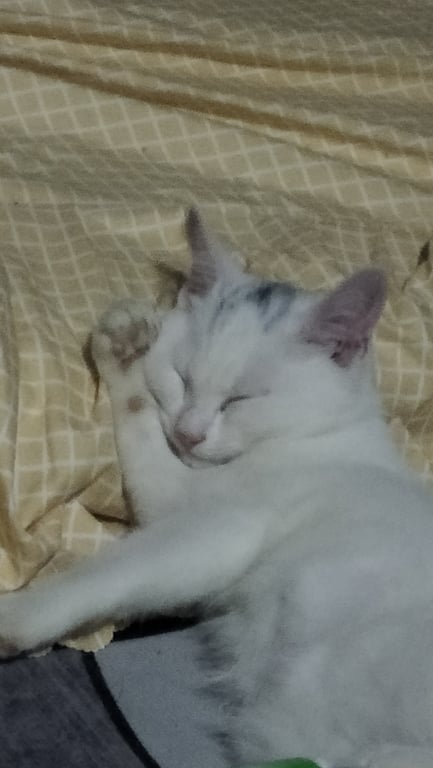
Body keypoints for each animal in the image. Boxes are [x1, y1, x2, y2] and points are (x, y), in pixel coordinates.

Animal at [1, 208, 433, 768]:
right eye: (182, 378)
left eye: (240, 399)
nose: (189, 433)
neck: (322, 438)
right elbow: (146, 415)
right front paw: (130, 347)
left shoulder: (218, 527)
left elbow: (110, 569)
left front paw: (15, 615)